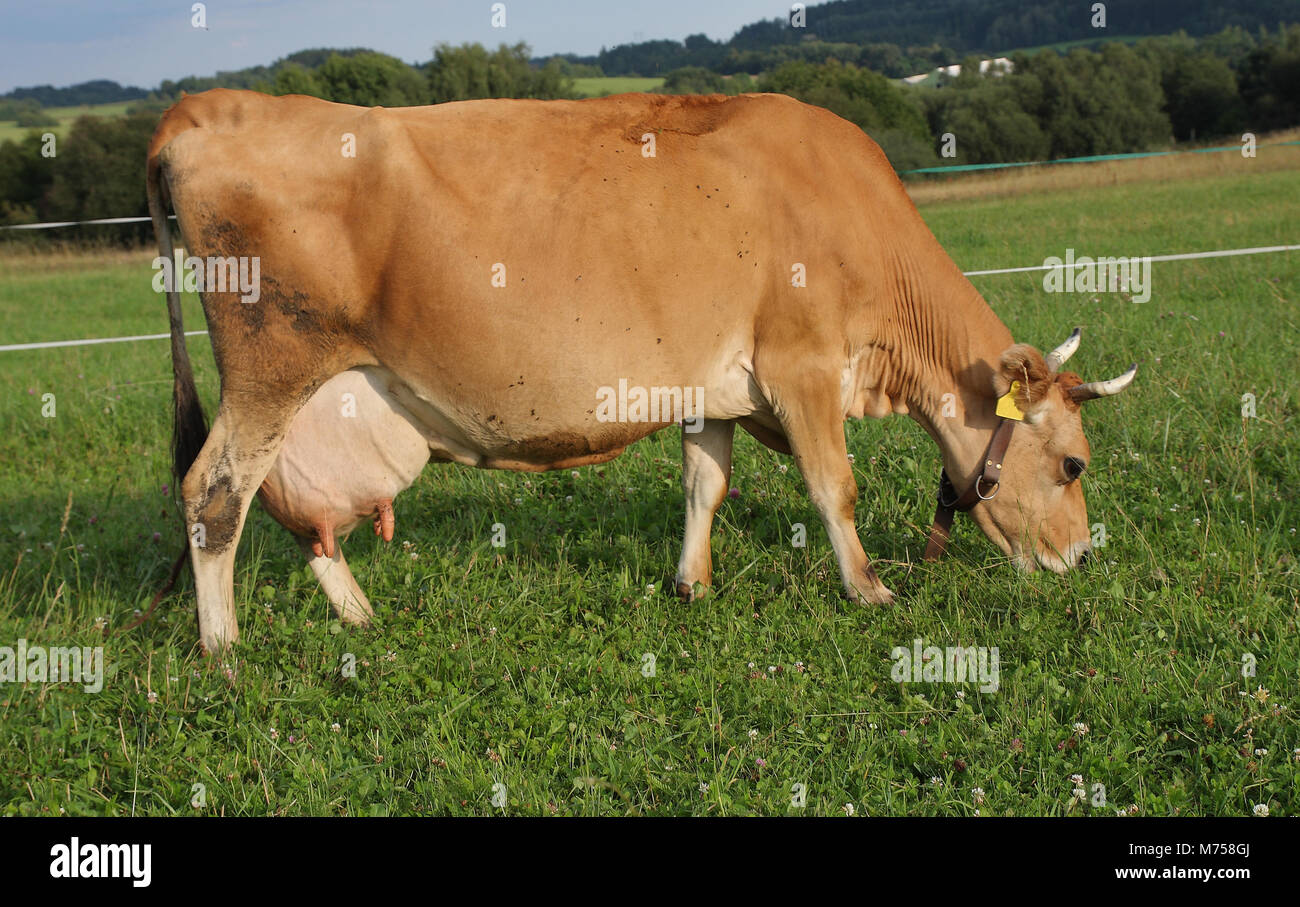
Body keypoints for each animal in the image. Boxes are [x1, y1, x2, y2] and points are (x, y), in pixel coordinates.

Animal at [146, 89, 1136, 654]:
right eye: (1074, 463)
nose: (1084, 556)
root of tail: (205, 103)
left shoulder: (712, 386)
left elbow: (706, 484)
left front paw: (690, 583)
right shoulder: (802, 363)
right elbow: (835, 485)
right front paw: (869, 587)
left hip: (311, 388)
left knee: (291, 508)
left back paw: (356, 615)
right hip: (269, 365)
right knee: (214, 493)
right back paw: (223, 648)